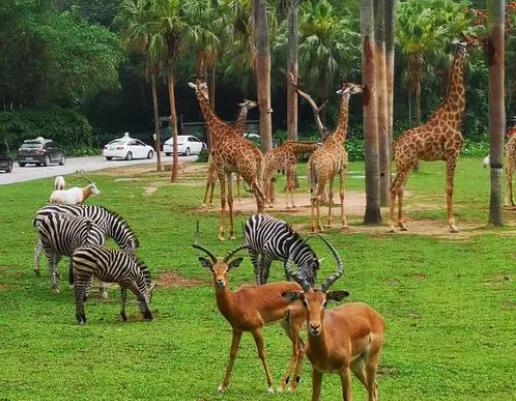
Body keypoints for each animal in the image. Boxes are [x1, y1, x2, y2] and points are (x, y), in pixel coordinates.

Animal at [188, 79, 264, 239]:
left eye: (203, 87)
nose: (204, 95)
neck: (217, 130)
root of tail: (257, 154)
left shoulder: (221, 168)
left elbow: (223, 199)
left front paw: (221, 233)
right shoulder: (229, 171)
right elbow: (230, 199)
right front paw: (231, 232)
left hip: (247, 174)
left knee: (260, 198)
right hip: (257, 174)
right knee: (262, 197)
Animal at [192, 238, 306, 390]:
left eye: (227, 269)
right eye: (213, 269)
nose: (220, 281)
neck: (236, 301)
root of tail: (301, 289)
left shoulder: (256, 328)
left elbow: (262, 353)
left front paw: (270, 386)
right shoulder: (237, 330)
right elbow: (232, 353)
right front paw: (222, 386)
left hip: (294, 324)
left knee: (296, 350)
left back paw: (282, 386)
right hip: (286, 324)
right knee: (302, 348)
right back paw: (292, 386)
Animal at [280, 234, 384, 400]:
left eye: (325, 302)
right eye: (304, 301)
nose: (314, 327)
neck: (327, 346)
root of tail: (372, 313)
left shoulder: (344, 370)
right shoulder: (317, 370)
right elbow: (315, 396)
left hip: (370, 361)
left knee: (371, 389)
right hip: (356, 364)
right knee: (374, 387)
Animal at [306, 81, 362, 231]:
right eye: (353, 87)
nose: (362, 88)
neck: (339, 137)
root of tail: (312, 161)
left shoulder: (332, 173)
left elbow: (331, 194)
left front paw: (330, 222)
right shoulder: (343, 169)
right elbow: (341, 194)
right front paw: (344, 223)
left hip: (312, 178)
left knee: (312, 197)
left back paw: (313, 226)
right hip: (322, 177)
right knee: (318, 197)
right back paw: (318, 226)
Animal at [390, 37, 482, 233]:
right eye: (470, 42)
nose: (480, 45)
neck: (455, 114)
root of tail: (396, 144)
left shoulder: (449, 156)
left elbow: (448, 187)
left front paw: (451, 223)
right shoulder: (453, 153)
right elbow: (450, 188)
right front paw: (452, 225)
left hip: (408, 163)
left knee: (400, 188)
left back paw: (402, 224)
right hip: (404, 162)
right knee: (394, 187)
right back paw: (391, 225)